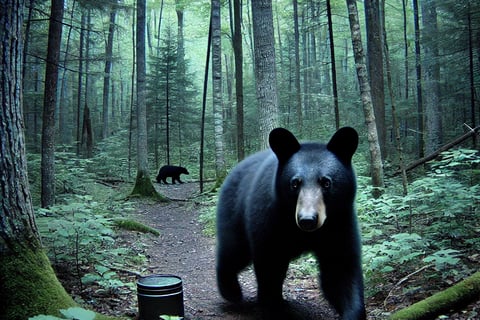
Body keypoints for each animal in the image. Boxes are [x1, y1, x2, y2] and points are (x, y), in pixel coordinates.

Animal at [216, 127, 366, 320]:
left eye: (326, 182)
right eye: (295, 183)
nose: (308, 219)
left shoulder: (339, 222)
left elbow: (341, 268)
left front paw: (352, 312)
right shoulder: (270, 219)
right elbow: (269, 264)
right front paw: (271, 306)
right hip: (234, 211)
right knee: (233, 250)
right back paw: (231, 291)